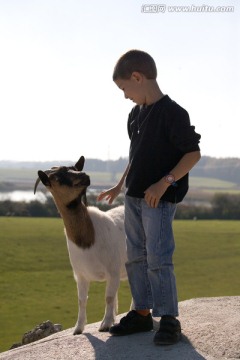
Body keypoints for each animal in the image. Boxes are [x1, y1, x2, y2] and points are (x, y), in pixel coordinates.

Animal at [34, 156, 128, 334]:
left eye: (76, 168)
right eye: (57, 178)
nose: (84, 176)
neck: (88, 238)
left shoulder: (112, 270)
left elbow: (108, 297)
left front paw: (105, 324)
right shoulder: (81, 275)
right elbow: (82, 300)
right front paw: (78, 328)